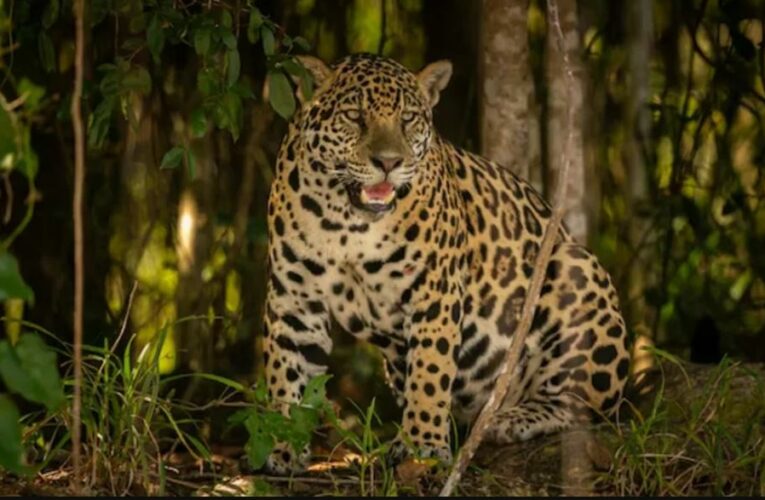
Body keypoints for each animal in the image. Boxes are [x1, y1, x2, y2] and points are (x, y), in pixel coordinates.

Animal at [261, 53, 631, 474]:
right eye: (354, 116)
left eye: (407, 118)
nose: (388, 162)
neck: (347, 223)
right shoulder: (294, 300)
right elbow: (286, 373)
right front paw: (284, 444)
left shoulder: (433, 291)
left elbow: (430, 371)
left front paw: (422, 445)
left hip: (576, 269)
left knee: (582, 405)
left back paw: (510, 418)